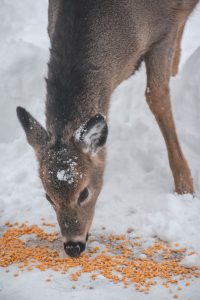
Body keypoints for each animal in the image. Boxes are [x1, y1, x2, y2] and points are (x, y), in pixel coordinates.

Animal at [16, 0, 198, 258]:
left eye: (84, 193)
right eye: (48, 196)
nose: (73, 246)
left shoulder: (166, 29)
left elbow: (157, 96)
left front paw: (185, 188)